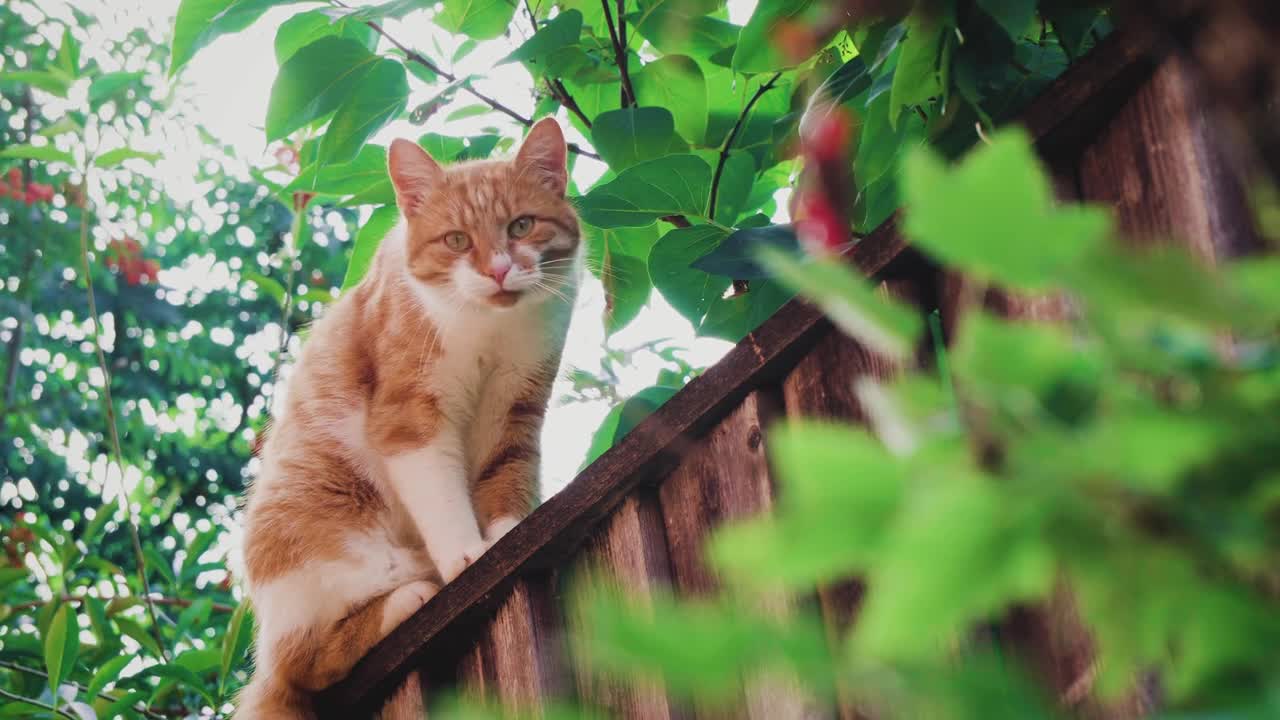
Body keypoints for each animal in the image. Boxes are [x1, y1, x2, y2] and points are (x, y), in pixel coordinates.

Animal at [236, 119, 581, 717]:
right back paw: (411, 596)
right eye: (457, 240)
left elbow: (507, 478)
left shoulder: (516, 406)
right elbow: (440, 495)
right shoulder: (409, 416)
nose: (498, 269)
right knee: (305, 663)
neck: (489, 329)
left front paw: (508, 535)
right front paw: (467, 556)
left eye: (521, 225)